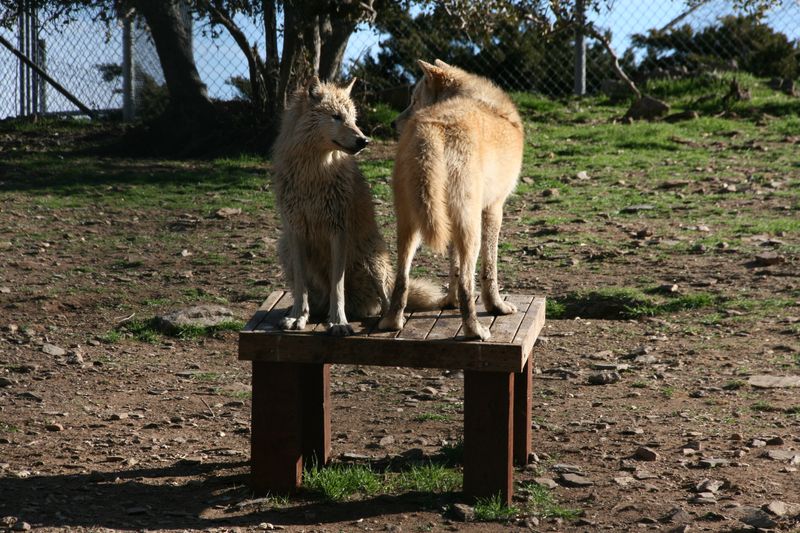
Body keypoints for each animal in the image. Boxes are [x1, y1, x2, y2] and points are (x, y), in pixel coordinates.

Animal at [271, 76, 442, 336]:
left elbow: (337, 285)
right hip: (285, 249)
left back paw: (385, 318)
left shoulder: (338, 231)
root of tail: (360, 306)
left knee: (387, 298)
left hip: (370, 257)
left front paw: (338, 322)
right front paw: (297, 317)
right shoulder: (295, 232)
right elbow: (301, 287)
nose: (364, 140)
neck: (313, 173)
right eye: (336, 117)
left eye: (353, 118)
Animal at [378, 60, 524, 340]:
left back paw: (392, 322)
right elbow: (489, 269)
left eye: (414, 100)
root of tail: (433, 126)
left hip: (411, 225)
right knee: (469, 281)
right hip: (470, 229)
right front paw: (497, 306)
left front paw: (449, 302)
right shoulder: (494, 210)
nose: (392, 124)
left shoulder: (452, 221)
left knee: (401, 278)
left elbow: (452, 267)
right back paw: (475, 330)